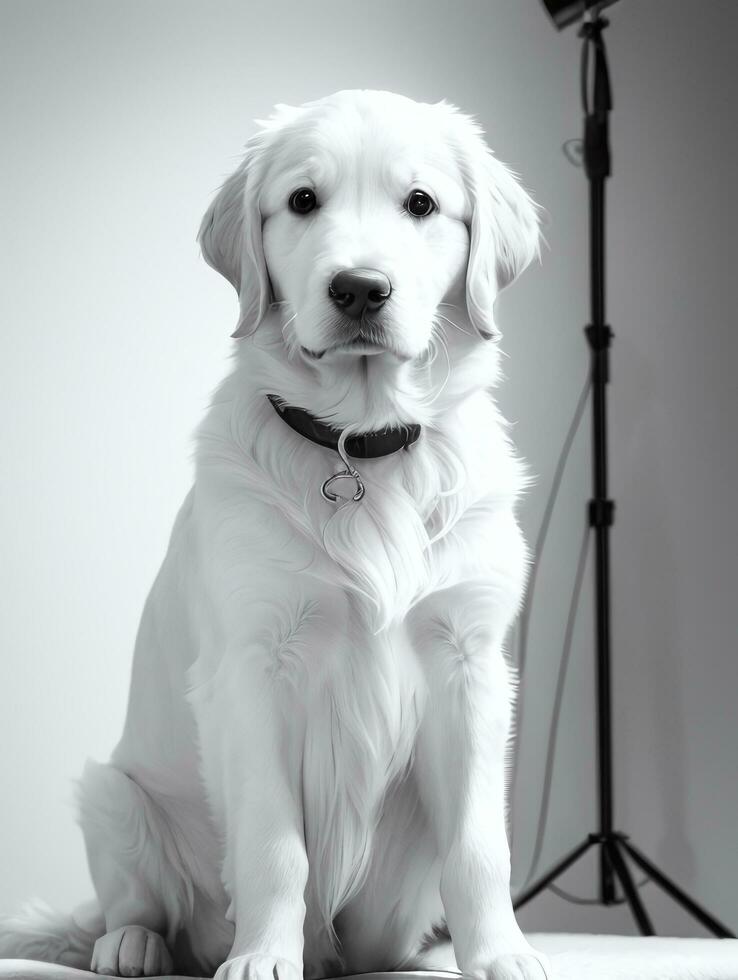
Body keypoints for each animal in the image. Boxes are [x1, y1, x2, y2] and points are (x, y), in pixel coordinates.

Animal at [0, 90, 548, 980]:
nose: (360, 289)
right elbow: (273, 845)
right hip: (111, 793)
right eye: (302, 200)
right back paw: (135, 945)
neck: (358, 442)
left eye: (421, 203)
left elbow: (478, 846)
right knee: (131, 904)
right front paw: (261, 957)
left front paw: (501, 955)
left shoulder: (471, 663)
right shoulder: (252, 667)